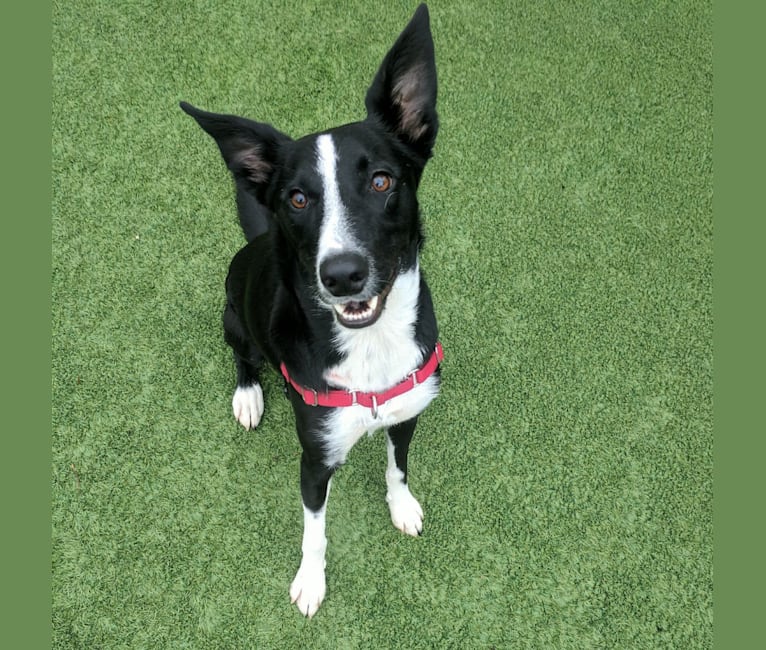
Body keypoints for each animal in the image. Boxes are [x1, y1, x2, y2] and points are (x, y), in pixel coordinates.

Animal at [182, 5, 444, 616]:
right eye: (298, 199)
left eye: (382, 180)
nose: (342, 274)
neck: (370, 349)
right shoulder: (315, 459)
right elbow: (315, 530)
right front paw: (311, 580)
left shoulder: (408, 413)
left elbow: (398, 466)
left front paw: (402, 505)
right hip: (234, 318)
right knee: (243, 357)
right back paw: (250, 395)